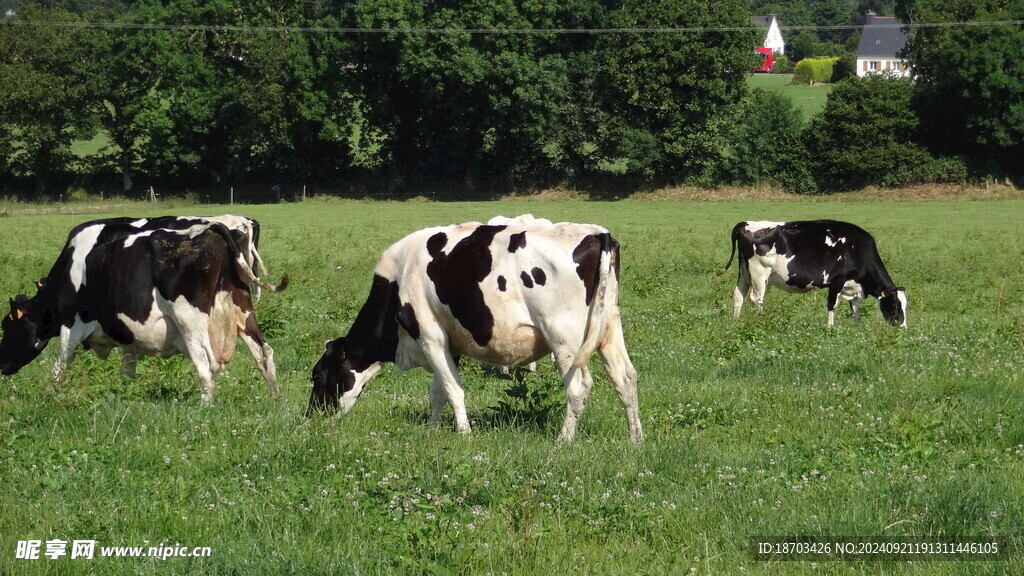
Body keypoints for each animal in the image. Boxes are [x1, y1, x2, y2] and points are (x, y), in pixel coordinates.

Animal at [2, 217, 288, 401]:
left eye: (7, 326)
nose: (2, 366)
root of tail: (216, 228)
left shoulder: (70, 326)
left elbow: (60, 365)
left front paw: (52, 395)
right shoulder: (129, 334)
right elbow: (127, 370)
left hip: (189, 319)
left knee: (207, 365)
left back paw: (204, 411)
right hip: (243, 308)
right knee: (263, 352)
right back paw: (274, 399)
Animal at [307, 216, 643, 444]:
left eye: (318, 376)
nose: (310, 418)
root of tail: (596, 234)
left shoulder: (430, 337)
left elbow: (453, 390)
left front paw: (464, 434)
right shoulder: (449, 344)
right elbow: (438, 392)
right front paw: (432, 430)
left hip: (563, 338)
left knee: (578, 387)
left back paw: (563, 440)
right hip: (609, 329)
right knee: (625, 378)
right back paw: (635, 439)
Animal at [716, 219, 909, 325]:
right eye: (896, 305)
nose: (902, 327)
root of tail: (747, 224)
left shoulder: (852, 285)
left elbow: (855, 307)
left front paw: (857, 326)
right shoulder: (837, 280)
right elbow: (833, 305)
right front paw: (830, 328)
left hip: (744, 273)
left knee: (738, 296)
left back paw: (736, 320)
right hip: (759, 274)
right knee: (757, 299)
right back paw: (763, 321)